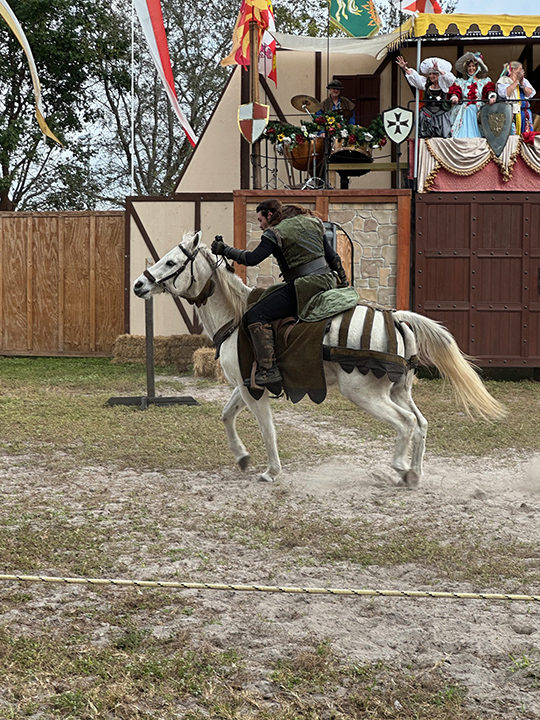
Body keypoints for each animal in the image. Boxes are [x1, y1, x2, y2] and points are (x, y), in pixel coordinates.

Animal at [133, 232, 505, 486]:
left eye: (170, 262)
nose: (139, 284)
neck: (237, 317)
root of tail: (395, 317)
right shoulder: (246, 384)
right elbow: (226, 416)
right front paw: (242, 457)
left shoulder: (252, 390)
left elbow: (267, 430)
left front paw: (271, 471)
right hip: (400, 390)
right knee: (421, 423)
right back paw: (413, 472)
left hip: (365, 394)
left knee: (405, 423)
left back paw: (400, 466)